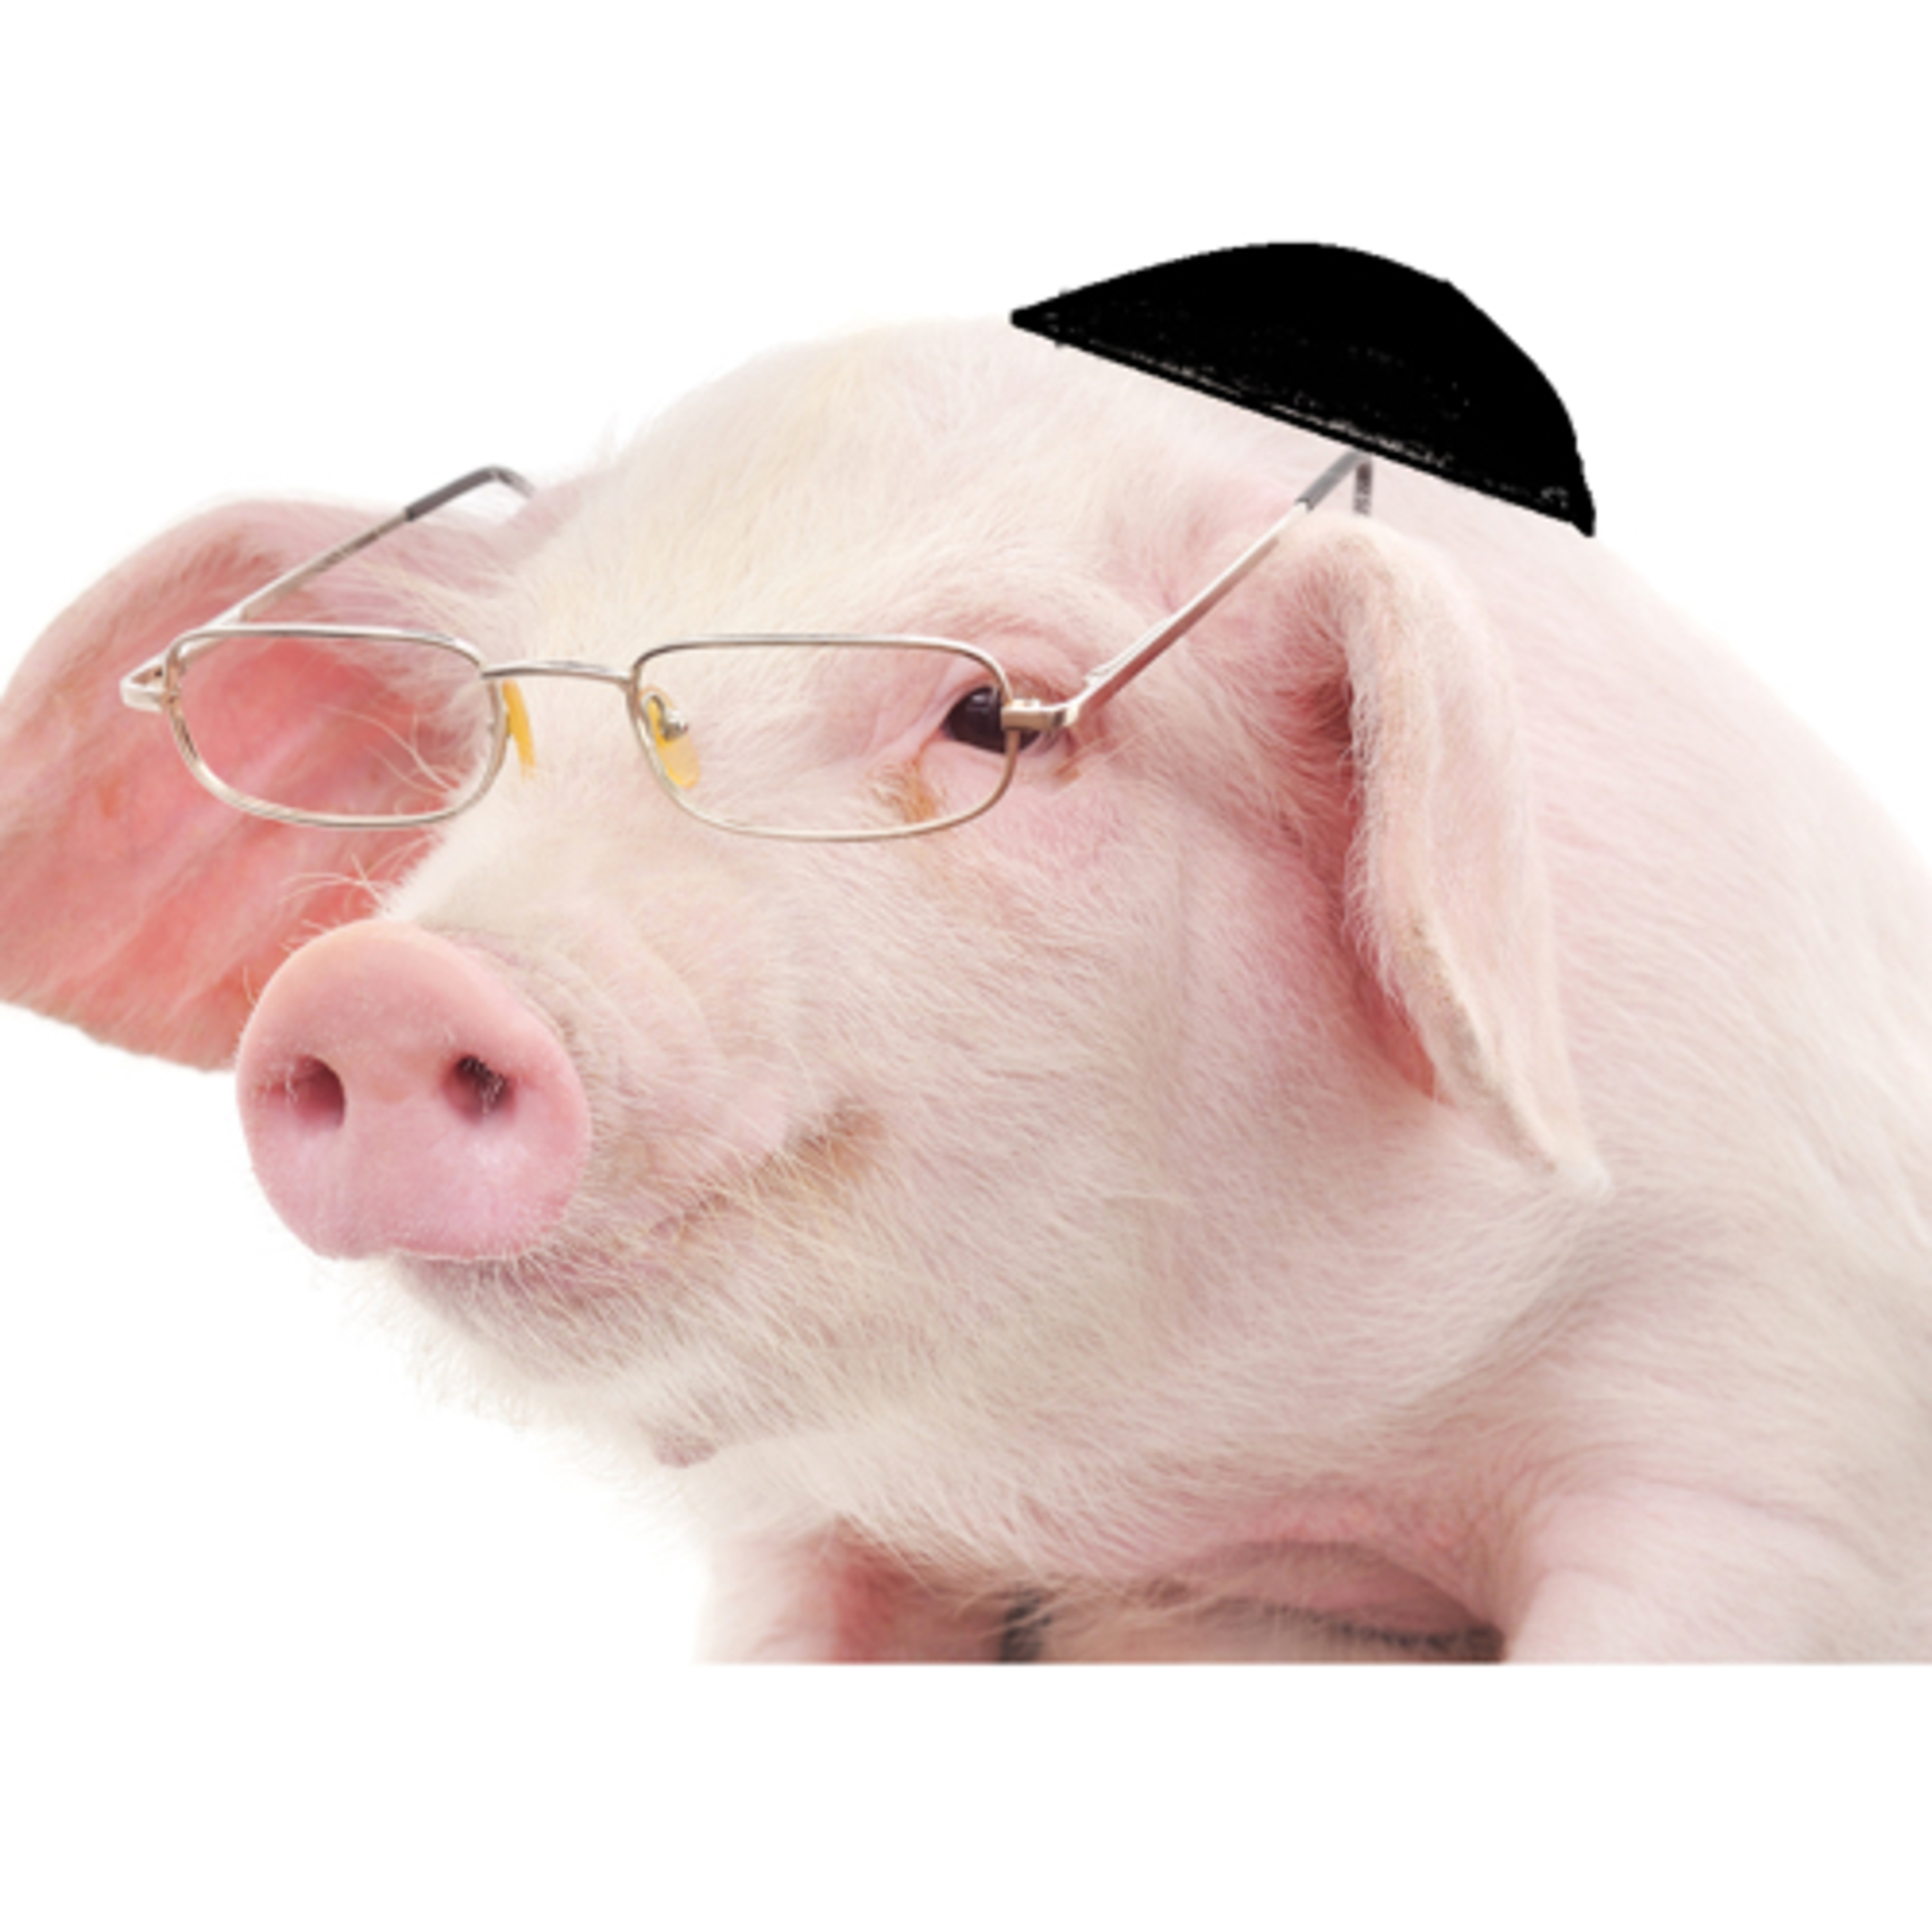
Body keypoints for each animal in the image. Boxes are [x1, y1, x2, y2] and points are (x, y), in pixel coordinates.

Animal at [5, 319, 1931, 1661]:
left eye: (991, 714)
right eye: (492, 720)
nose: (385, 985)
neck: (1246, 1497)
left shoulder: (1762, 1442)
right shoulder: (822, 1527)